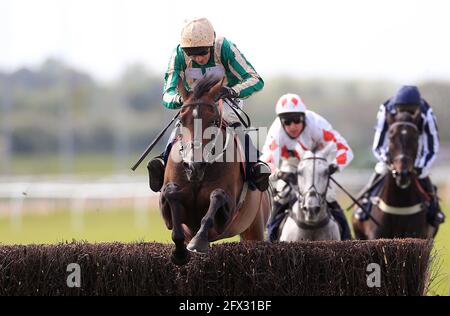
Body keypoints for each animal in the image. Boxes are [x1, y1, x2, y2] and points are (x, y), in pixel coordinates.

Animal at [159, 73, 268, 264]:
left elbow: (217, 196)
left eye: (214, 121)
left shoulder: (228, 215)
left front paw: (198, 242)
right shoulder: (169, 212)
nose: (193, 166)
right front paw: (179, 252)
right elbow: (171, 194)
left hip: (253, 227)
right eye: (181, 120)